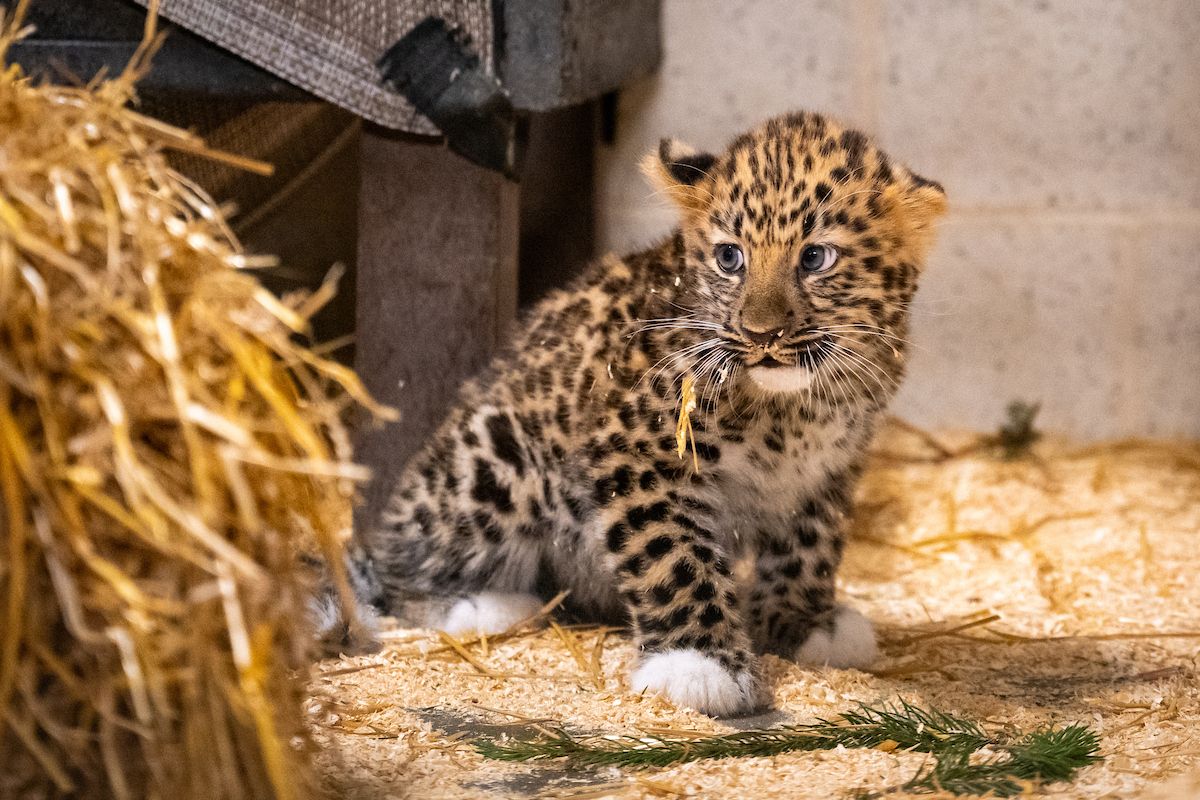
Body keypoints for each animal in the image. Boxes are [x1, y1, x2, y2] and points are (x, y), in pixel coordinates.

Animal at [325, 110, 946, 717]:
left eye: (815, 257)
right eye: (730, 258)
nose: (760, 333)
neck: (796, 409)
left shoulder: (826, 471)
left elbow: (809, 547)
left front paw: (804, 622)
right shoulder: (640, 452)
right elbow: (674, 556)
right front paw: (699, 665)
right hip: (493, 461)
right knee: (396, 567)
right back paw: (484, 606)